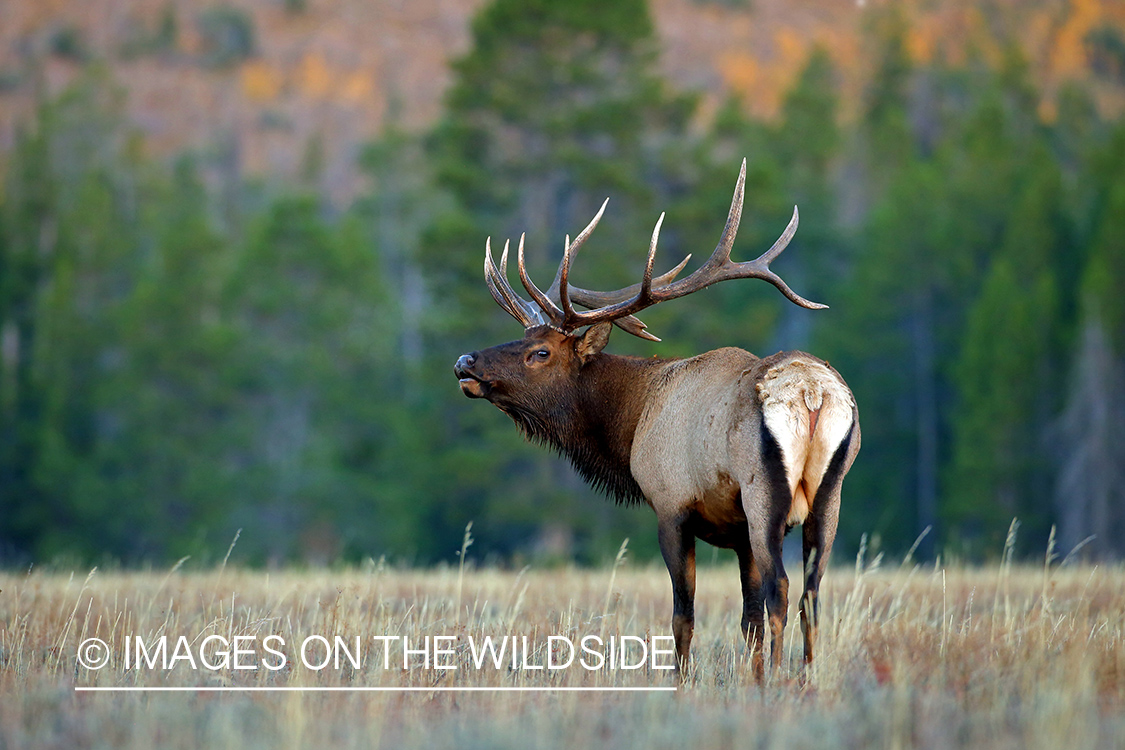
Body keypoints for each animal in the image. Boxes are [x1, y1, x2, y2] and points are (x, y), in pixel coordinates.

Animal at [452, 159, 855, 679]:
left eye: (540, 352)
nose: (465, 362)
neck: (631, 422)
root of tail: (811, 393)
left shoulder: (671, 506)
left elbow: (684, 615)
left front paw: (683, 681)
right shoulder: (738, 534)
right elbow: (747, 620)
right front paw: (749, 678)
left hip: (763, 492)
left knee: (782, 589)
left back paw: (781, 682)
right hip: (830, 495)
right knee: (811, 593)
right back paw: (804, 679)